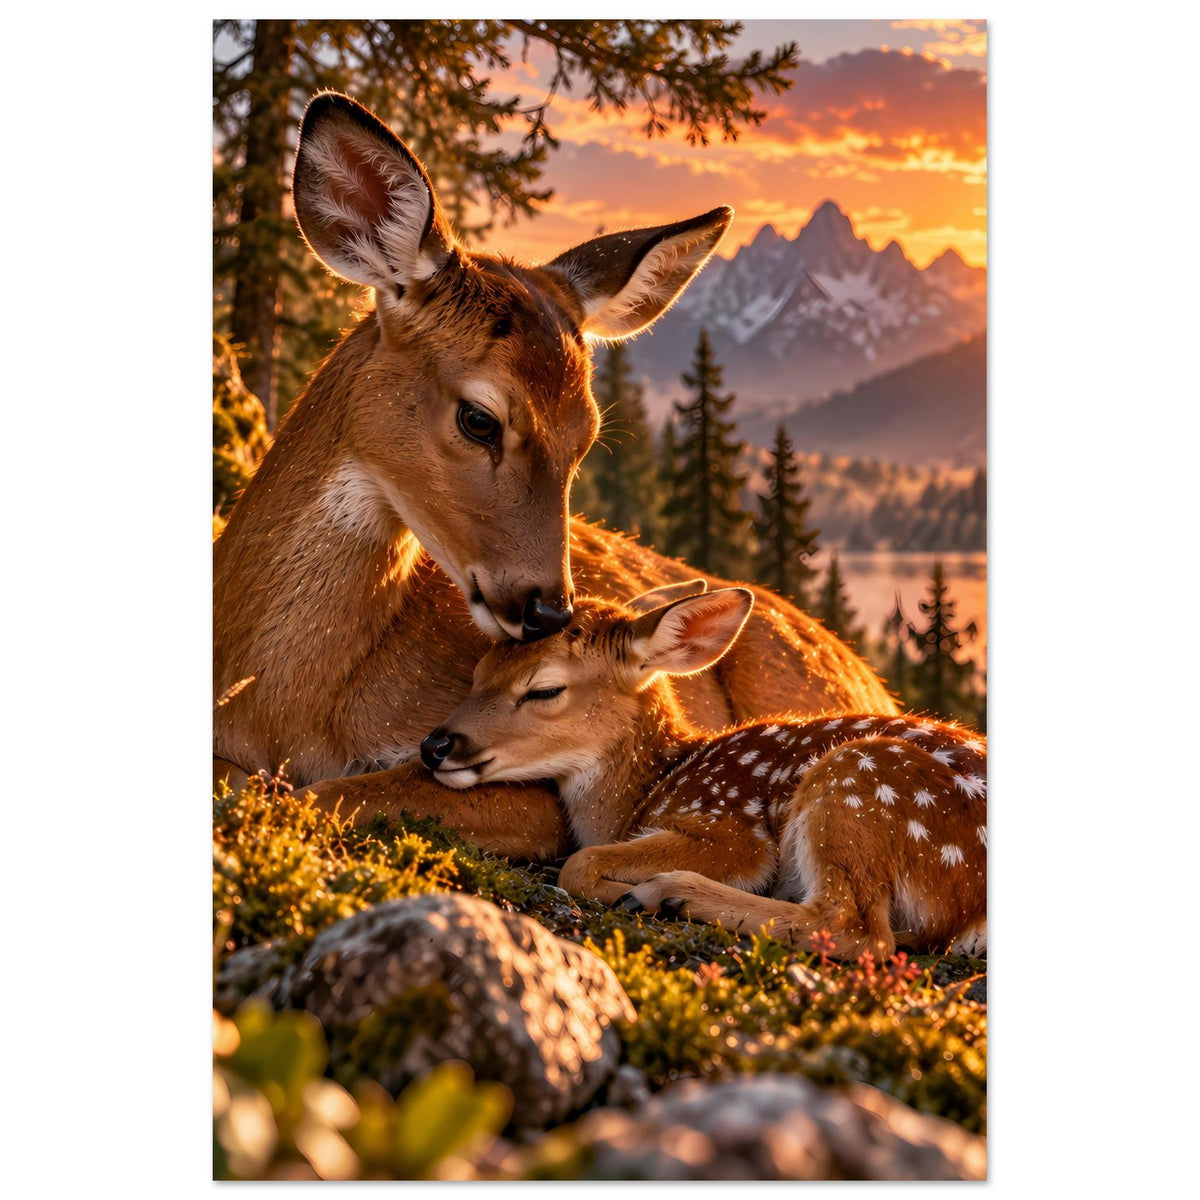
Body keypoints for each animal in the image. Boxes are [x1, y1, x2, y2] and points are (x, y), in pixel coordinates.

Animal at [214, 91, 897, 863]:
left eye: (587, 435)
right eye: (479, 418)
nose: (549, 610)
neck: (277, 706)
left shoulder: (531, 794)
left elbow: (328, 792)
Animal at [422, 583, 986, 960]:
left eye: (544, 689)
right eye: (478, 673)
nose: (434, 745)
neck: (647, 786)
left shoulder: (730, 829)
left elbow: (578, 863)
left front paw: (624, 888)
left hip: (857, 782)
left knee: (858, 929)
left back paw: (665, 894)